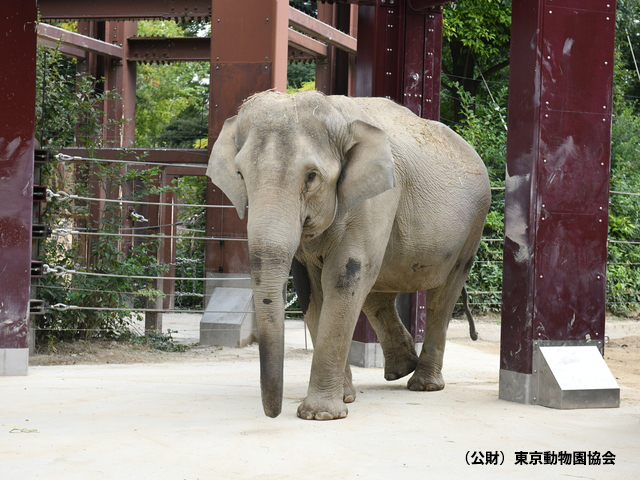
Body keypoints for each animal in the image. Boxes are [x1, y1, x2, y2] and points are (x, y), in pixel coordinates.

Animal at [208, 91, 492, 420]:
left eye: (311, 177)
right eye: (240, 175)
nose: (273, 414)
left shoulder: (377, 198)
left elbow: (344, 276)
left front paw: (319, 415)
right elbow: (309, 287)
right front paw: (343, 399)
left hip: (473, 227)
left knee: (442, 297)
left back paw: (423, 385)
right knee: (376, 290)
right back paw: (400, 370)